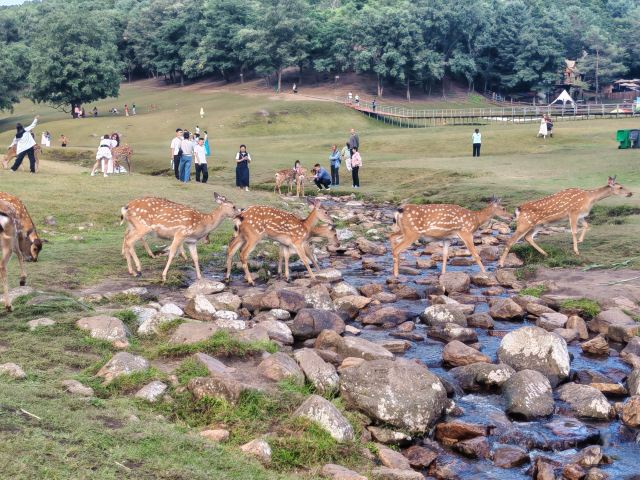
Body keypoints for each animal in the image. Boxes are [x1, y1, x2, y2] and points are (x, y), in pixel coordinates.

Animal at [498, 176, 633, 267]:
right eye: (620, 187)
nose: (631, 193)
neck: (589, 199)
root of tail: (518, 209)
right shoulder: (573, 212)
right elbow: (573, 231)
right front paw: (576, 251)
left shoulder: (581, 215)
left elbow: (587, 225)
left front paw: (580, 240)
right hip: (524, 223)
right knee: (510, 241)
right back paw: (501, 263)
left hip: (538, 224)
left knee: (528, 237)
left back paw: (546, 254)